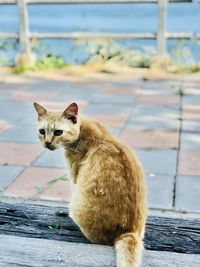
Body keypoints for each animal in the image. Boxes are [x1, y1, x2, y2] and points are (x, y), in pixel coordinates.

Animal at [33, 101, 148, 266]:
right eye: (42, 131)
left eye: (58, 132)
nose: (47, 143)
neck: (82, 129)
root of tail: (128, 231)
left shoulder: (74, 178)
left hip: (75, 205)